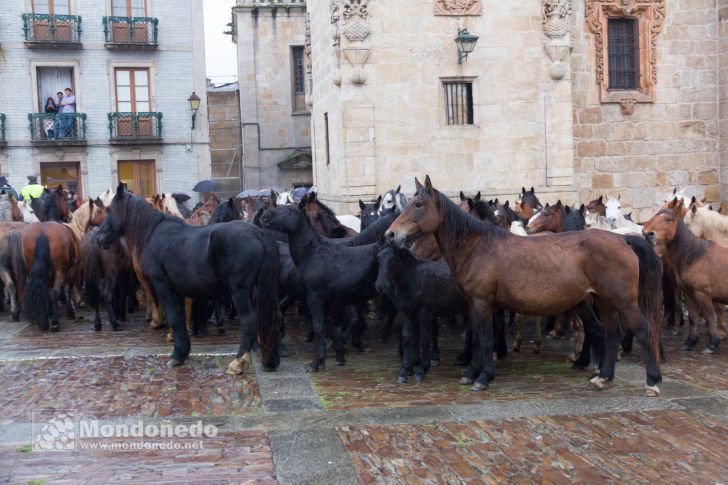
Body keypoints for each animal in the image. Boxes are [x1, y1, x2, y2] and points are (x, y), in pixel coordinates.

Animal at [96, 185, 278, 370]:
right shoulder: (177, 290)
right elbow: (179, 317)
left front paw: (177, 355)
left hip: (239, 292)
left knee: (248, 321)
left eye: (108, 210)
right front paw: (182, 352)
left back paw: (238, 361)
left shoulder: (162, 285)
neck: (153, 233)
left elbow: (173, 318)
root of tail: (258, 233)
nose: (99, 238)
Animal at [264, 198, 384, 370]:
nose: (266, 217)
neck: (313, 254)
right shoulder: (326, 300)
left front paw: (317, 362)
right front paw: (339, 354)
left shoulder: (315, 297)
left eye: (290, 210)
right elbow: (328, 325)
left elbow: (320, 326)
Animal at [376, 246, 472, 382]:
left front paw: (422, 369)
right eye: (378, 258)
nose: (380, 286)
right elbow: (407, 337)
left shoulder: (425, 312)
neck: (415, 280)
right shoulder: (406, 313)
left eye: (394, 260)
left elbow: (425, 338)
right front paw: (405, 370)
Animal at [386, 176, 664, 396]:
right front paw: (472, 372)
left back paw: (652, 381)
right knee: (611, 333)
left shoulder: (482, 303)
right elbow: (476, 338)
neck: (479, 246)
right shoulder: (473, 305)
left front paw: (483, 377)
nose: (391, 234)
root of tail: (624, 240)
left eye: (418, 205)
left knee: (643, 330)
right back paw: (602, 377)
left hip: (623, 302)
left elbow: (484, 338)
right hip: (604, 301)